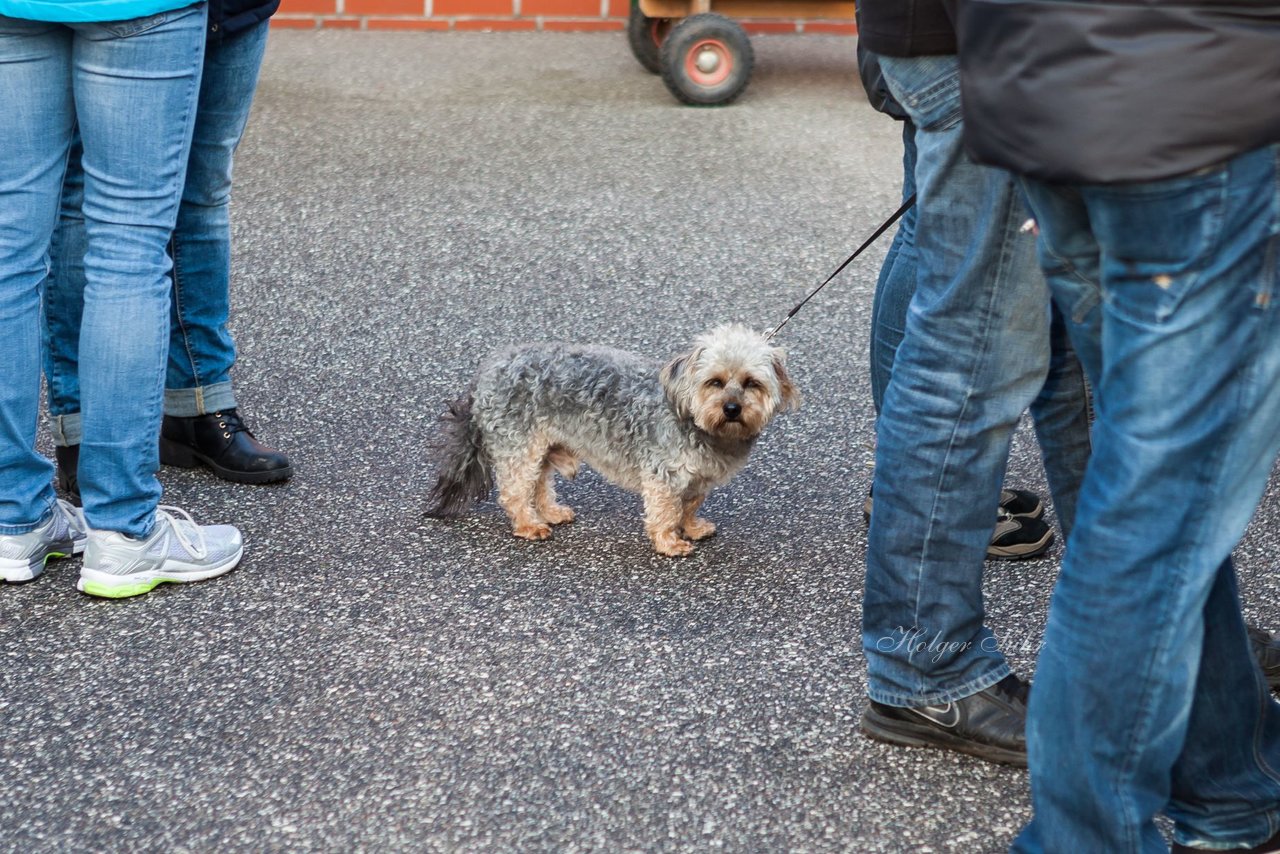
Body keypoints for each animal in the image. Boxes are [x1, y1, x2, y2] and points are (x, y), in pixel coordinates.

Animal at [424, 323, 793, 558]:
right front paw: (668, 542)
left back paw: (550, 512)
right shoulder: (663, 475)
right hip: (520, 447)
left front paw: (690, 527)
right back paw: (529, 524)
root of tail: (485, 372)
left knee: (539, 481)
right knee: (515, 491)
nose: (732, 408)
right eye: (714, 382)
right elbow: (666, 510)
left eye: (751, 383)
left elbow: (688, 506)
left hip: (541, 444)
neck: (698, 423)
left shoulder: (697, 478)